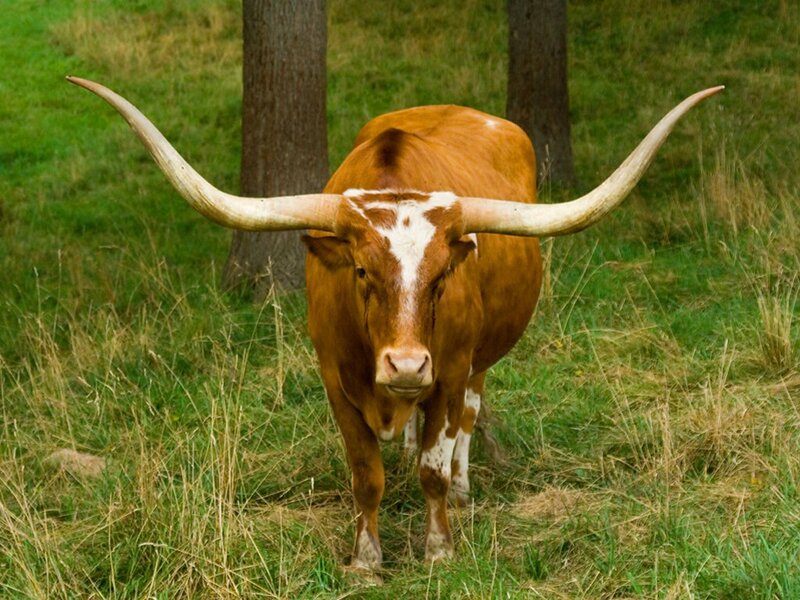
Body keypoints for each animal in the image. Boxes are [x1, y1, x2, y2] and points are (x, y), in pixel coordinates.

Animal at [68, 76, 722, 571]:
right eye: (361, 271)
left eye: (440, 276)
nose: (406, 365)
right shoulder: (334, 379)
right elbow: (366, 475)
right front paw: (366, 558)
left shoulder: (449, 368)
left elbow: (435, 463)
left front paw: (439, 548)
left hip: (474, 362)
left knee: (468, 416)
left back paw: (462, 482)